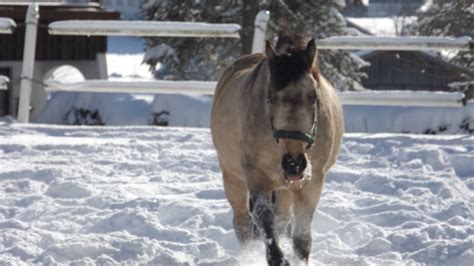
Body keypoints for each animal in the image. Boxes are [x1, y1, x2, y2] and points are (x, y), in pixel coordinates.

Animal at [211, 34, 344, 264]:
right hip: (232, 176)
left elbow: (301, 239)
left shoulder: (312, 182)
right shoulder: (256, 174)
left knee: (281, 221)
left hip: (285, 188)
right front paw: (277, 259)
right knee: (243, 224)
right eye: (271, 97)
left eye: (313, 96)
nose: (294, 164)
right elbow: (264, 219)